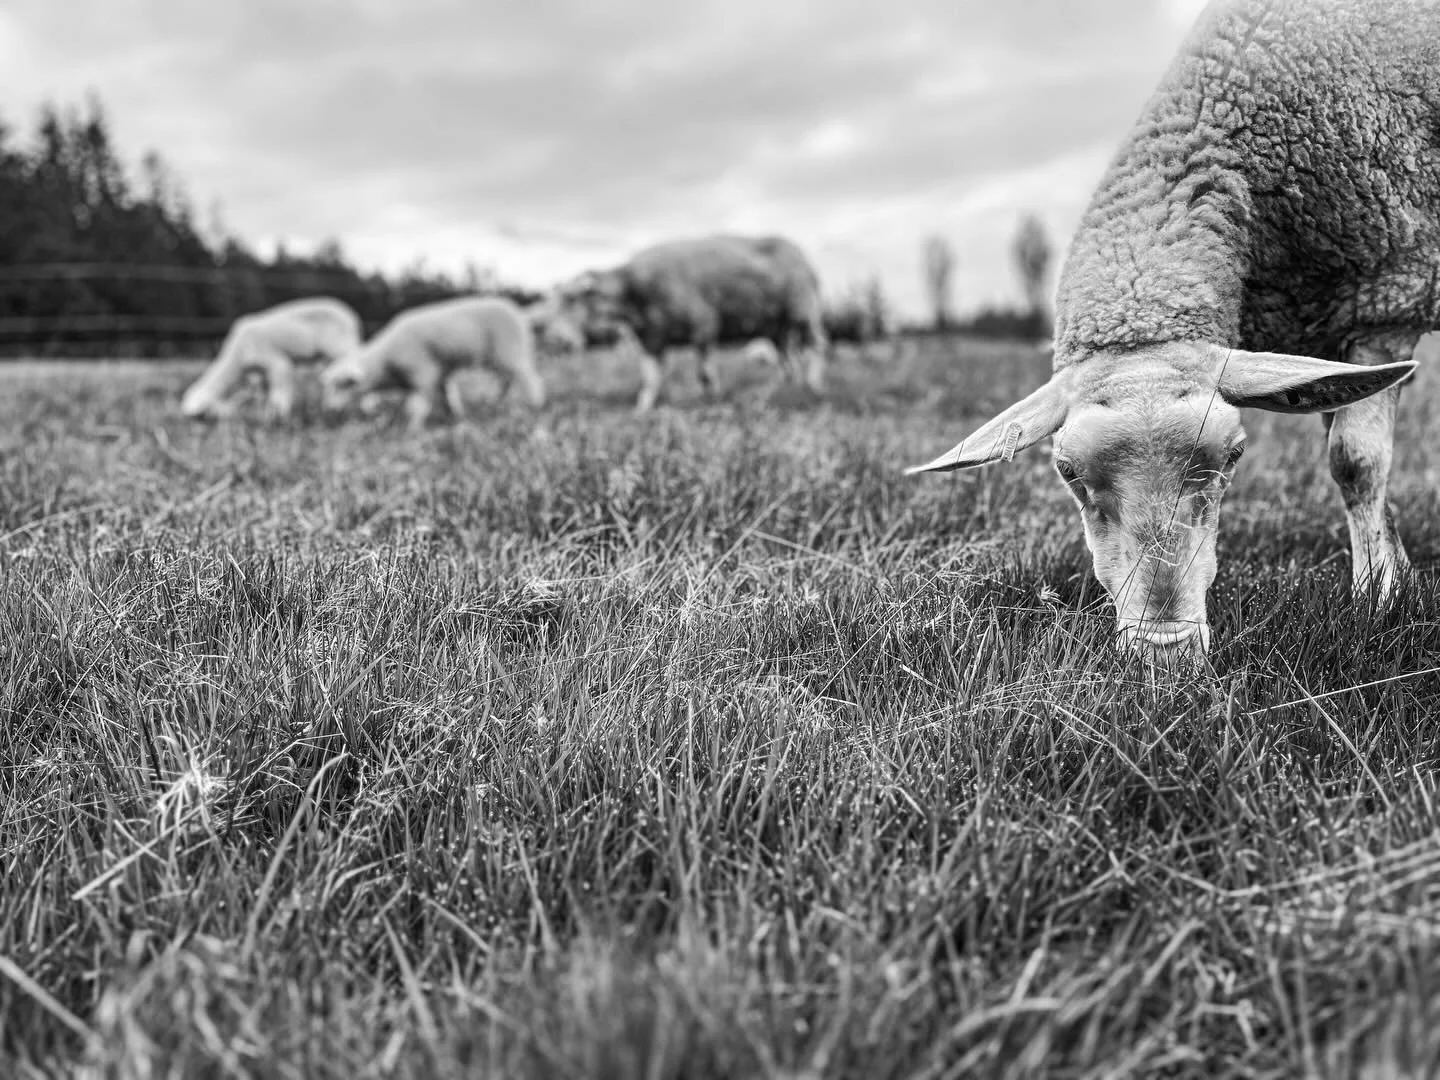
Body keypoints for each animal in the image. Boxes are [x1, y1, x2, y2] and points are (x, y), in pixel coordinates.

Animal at [180, 297, 361, 421]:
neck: (236, 358)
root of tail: (350, 315)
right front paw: (265, 417)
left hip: (340, 345)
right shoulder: (260, 372)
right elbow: (264, 395)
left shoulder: (276, 361)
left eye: (201, 415)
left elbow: (279, 393)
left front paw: (281, 418)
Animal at [319, 295, 544, 428]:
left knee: (529, 379)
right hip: (501, 358)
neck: (384, 362)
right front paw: (455, 416)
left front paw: (412, 429)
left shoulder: (423, 371)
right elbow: (447, 396)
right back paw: (496, 402)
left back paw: (535, 404)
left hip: (509, 351)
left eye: (343, 385)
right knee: (508, 381)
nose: (328, 409)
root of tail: (521, 314)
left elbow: (417, 406)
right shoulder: (440, 373)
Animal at [560, 234, 828, 411]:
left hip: (803, 312)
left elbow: (704, 374)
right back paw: (764, 397)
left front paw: (712, 401)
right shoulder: (652, 339)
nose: (563, 339)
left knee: (817, 347)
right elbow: (650, 378)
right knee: (788, 367)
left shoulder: (704, 325)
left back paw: (813, 386)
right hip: (777, 328)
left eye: (571, 301)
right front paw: (642, 409)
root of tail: (803, 257)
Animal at [908, 0, 1434, 663]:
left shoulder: (1386, 300)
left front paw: (1377, 597)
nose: (1166, 652)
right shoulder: (1324, 344)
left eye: (1235, 454)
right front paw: (1400, 575)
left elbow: (1356, 463)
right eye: (1068, 473)